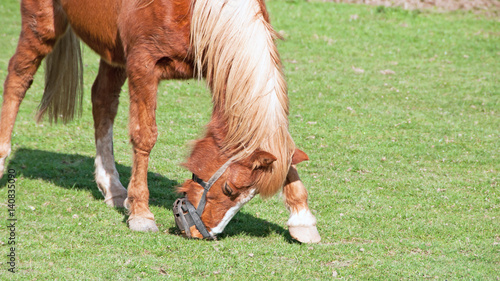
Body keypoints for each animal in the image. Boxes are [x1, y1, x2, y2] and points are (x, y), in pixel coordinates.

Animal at [0, 0, 320, 242]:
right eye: (229, 189)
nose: (201, 233)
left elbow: (283, 147)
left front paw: (302, 219)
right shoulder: (143, 65)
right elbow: (145, 136)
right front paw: (141, 213)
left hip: (112, 49)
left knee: (102, 100)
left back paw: (113, 186)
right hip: (41, 24)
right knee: (18, 78)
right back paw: (3, 158)